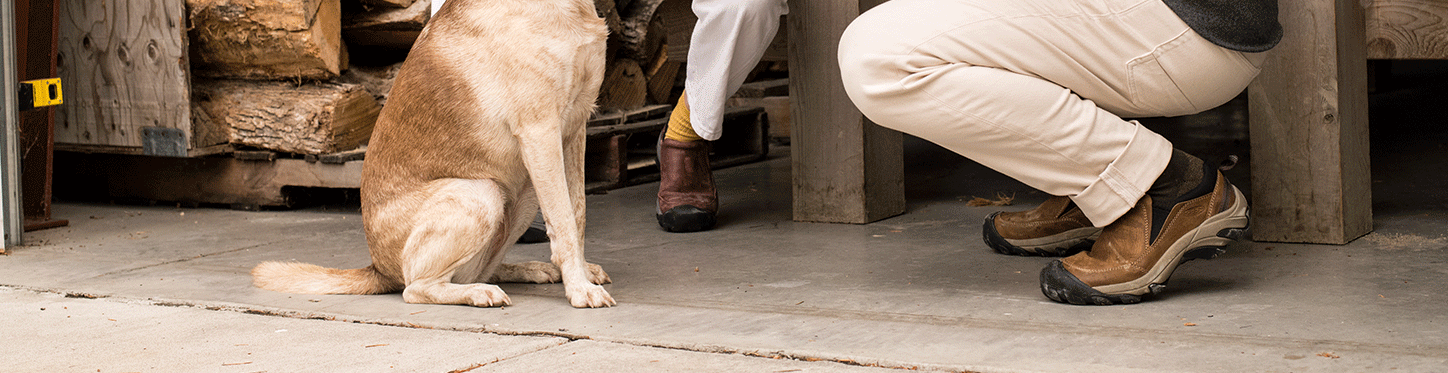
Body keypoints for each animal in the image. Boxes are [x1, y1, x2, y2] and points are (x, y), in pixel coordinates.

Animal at [251, 0, 613, 309]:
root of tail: (378, 270)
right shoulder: (540, 131)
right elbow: (563, 221)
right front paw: (579, 289)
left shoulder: (575, 128)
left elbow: (577, 212)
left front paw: (581, 275)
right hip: (480, 193)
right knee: (417, 287)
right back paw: (479, 292)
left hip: (523, 197)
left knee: (474, 271)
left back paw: (528, 270)